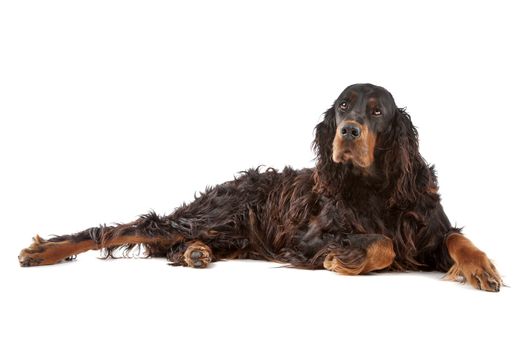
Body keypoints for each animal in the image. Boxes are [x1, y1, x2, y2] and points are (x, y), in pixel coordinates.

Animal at [18, 83, 502, 292]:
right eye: (343, 106)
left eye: (378, 111)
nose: (348, 131)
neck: (376, 189)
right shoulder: (306, 239)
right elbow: (380, 243)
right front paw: (343, 261)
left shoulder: (427, 227)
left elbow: (455, 238)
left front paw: (481, 267)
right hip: (215, 214)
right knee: (122, 229)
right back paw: (44, 252)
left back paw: (195, 253)